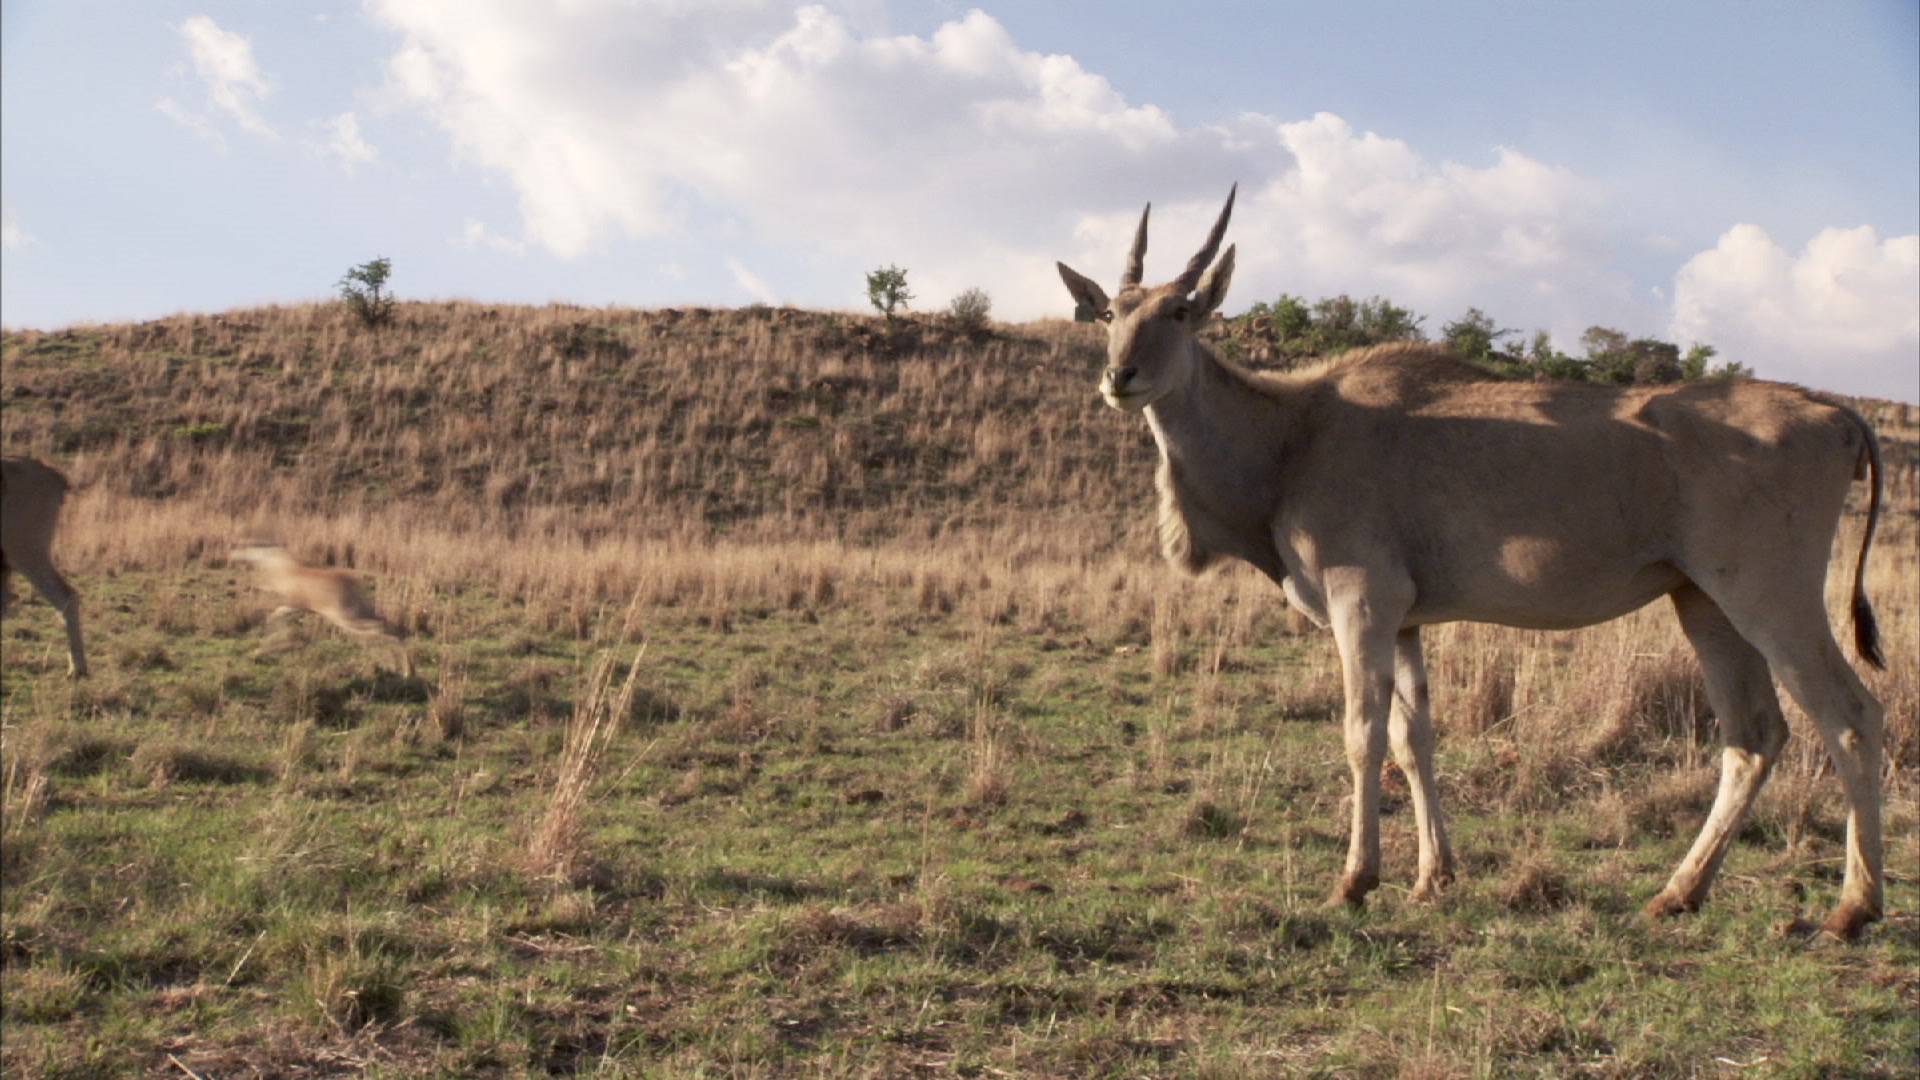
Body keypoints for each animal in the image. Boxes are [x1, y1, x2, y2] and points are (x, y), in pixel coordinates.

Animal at [231, 542, 415, 678]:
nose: (233, 554)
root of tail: (355, 581)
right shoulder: (290, 607)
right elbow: (274, 618)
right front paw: (262, 651)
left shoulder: (289, 602)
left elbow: (270, 615)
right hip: (361, 611)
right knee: (388, 626)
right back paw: (403, 669)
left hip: (346, 617)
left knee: (378, 629)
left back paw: (400, 669)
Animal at [1057, 185, 1888, 939]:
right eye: (1112, 314)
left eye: (1179, 311)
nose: (1119, 377)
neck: (1293, 435)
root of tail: (1835, 412)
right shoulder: (1404, 623)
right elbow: (1413, 736)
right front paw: (1433, 877)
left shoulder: (1362, 604)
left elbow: (1363, 733)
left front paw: (1356, 881)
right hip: (1705, 604)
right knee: (1754, 736)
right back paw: (1676, 895)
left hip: (1771, 598)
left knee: (1849, 716)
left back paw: (1852, 909)